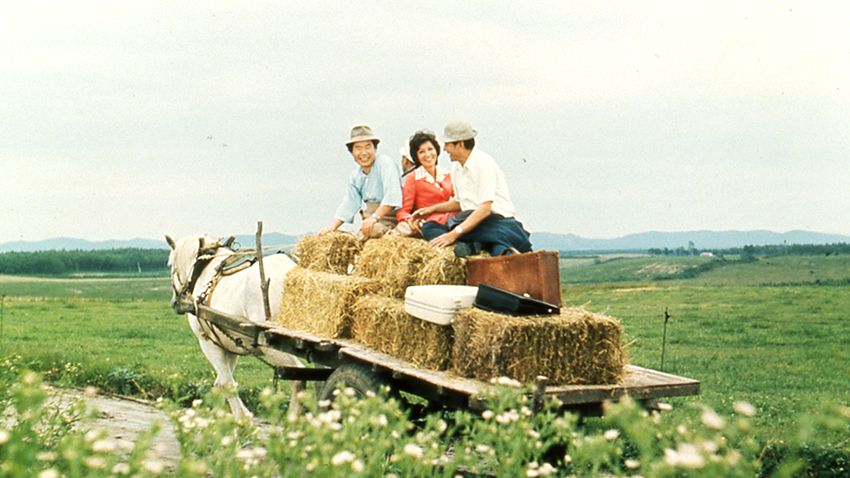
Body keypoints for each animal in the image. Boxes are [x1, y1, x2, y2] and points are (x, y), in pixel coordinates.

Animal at [164, 233, 304, 420]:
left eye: (169, 264)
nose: (175, 302)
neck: (203, 271)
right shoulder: (228, 345)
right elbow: (220, 383)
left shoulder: (208, 342)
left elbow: (226, 383)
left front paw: (242, 417)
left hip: (274, 346)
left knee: (298, 378)